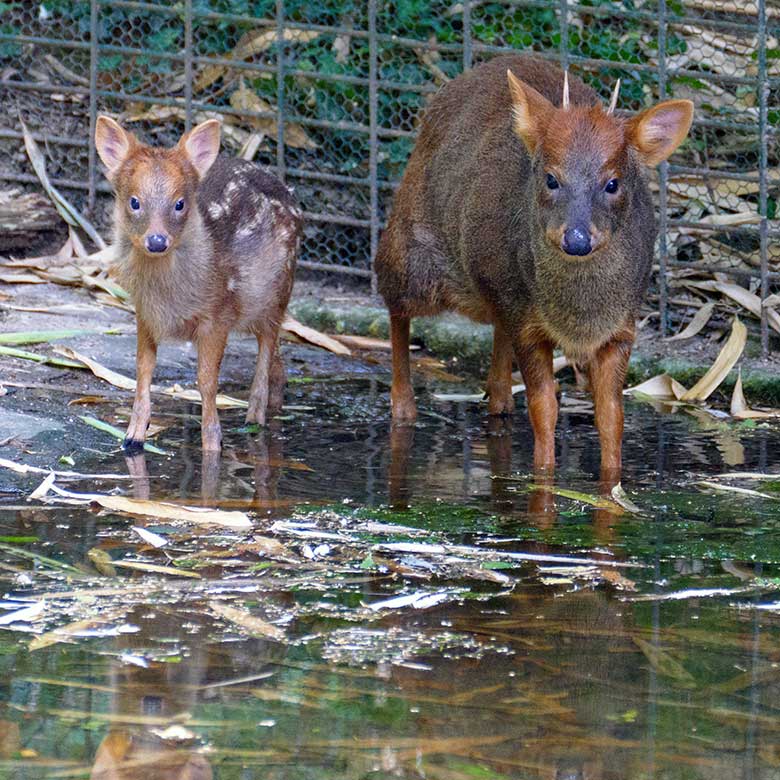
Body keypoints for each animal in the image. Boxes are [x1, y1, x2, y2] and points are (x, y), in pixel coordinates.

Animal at [95, 116, 302, 450]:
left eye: (180, 203)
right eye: (134, 202)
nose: (156, 241)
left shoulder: (219, 314)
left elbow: (206, 380)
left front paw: (212, 443)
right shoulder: (144, 313)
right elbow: (143, 368)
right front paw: (133, 436)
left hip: (278, 291)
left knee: (267, 347)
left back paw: (254, 419)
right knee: (277, 364)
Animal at [378, 54, 696, 478]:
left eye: (612, 183)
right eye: (550, 178)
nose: (576, 240)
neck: (578, 316)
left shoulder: (620, 328)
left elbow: (611, 415)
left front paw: (611, 480)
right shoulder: (527, 322)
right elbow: (544, 408)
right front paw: (543, 476)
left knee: (496, 351)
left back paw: (498, 403)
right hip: (414, 253)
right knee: (393, 301)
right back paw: (403, 406)